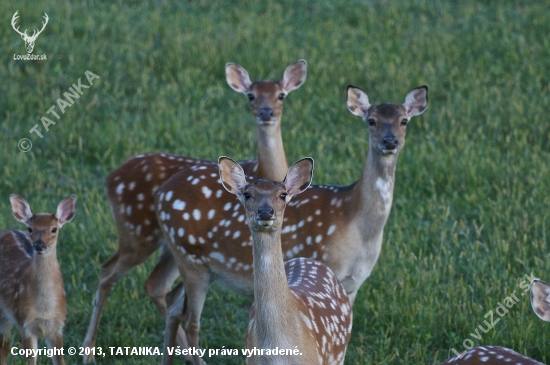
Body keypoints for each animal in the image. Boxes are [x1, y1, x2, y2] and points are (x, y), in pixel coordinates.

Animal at [0, 193, 76, 364]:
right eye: (30, 229)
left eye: (54, 229)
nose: (39, 245)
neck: (44, 309)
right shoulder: (25, 323)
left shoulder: (57, 325)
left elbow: (60, 361)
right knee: (4, 344)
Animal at [82, 59, 308, 362]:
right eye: (251, 95)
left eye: (281, 95)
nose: (265, 112)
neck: (264, 170)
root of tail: (110, 178)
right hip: (137, 233)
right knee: (109, 272)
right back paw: (88, 352)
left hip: (168, 246)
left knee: (154, 285)